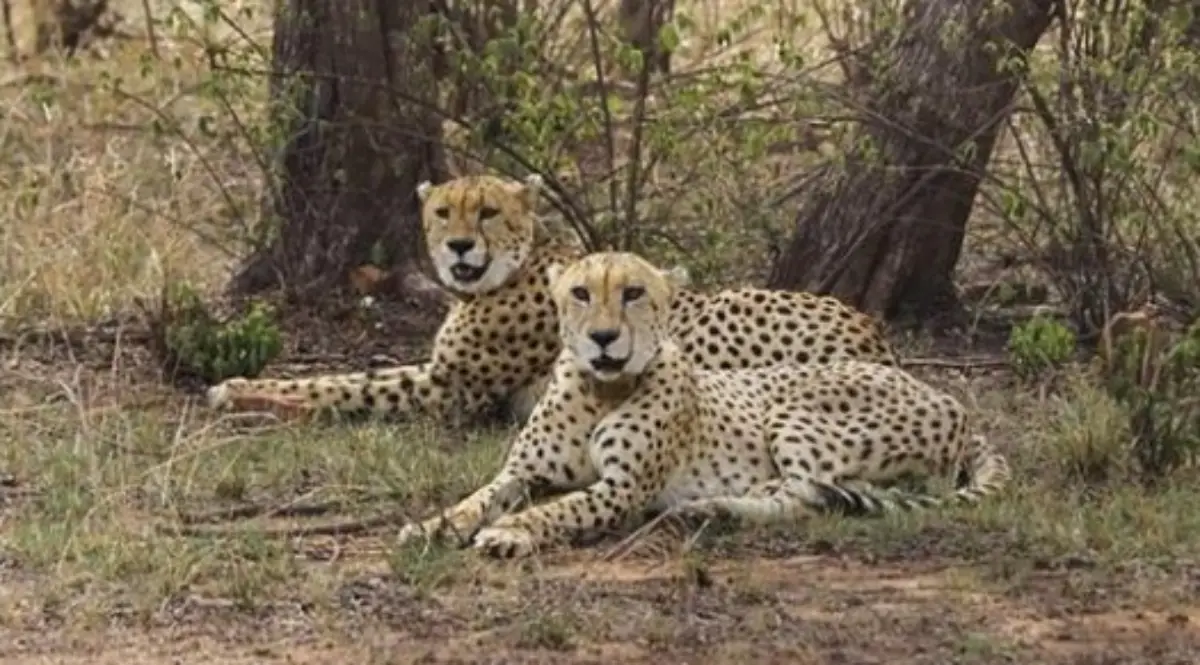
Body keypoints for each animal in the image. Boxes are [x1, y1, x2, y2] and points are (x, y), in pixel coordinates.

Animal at [206, 173, 900, 427]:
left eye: (486, 212)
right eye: (443, 212)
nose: (458, 246)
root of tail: (873, 332)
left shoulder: (450, 389)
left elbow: (341, 385)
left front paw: (240, 390)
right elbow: (351, 375)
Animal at [396, 251, 1010, 558]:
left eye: (634, 293)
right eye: (580, 293)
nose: (603, 339)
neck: (599, 389)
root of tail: (951, 402)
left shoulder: (622, 489)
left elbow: (557, 509)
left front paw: (511, 533)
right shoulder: (522, 471)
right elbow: (476, 499)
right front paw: (431, 526)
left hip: (791, 411)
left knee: (807, 495)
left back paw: (715, 506)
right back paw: (709, 508)